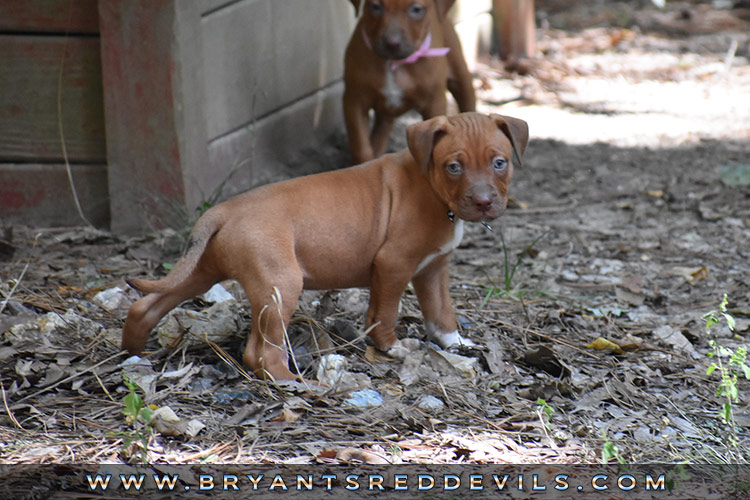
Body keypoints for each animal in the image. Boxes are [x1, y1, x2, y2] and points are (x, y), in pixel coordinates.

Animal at [122, 112, 528, 378]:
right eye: (453, 167)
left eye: (499, 163)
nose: (484, 202)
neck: (430, 184)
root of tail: (224, 209)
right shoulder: (393, 264)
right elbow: (385, 311)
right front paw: (390, 347)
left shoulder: (433, 268)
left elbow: (442, 313)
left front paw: (456, 344)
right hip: (281, 285)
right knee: (259, 352)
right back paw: (291, 382)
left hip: (203, 270)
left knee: (146, 305)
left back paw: (133, 353)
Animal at [346, 0, 476, 164]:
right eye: (375, 6)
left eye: (416, 9)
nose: (392, 43)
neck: (395, 64)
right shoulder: (355, 101)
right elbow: (361, 149)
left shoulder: (434, 103)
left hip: (460, 75)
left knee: (468, 102)